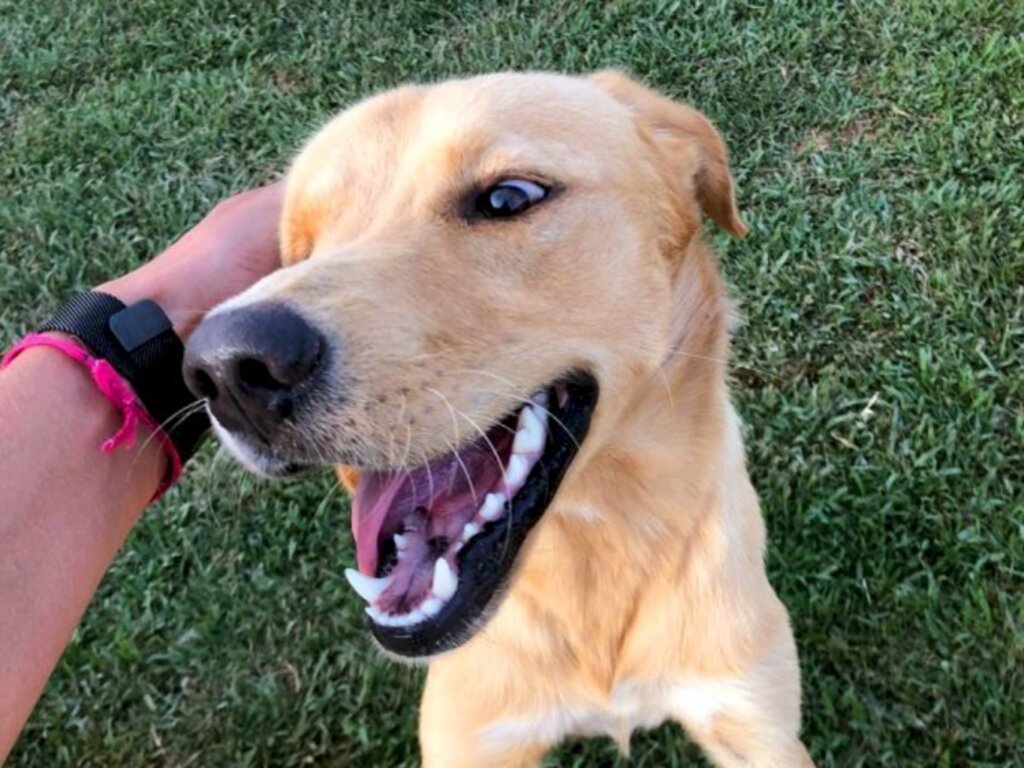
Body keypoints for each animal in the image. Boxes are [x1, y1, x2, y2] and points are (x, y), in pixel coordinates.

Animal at [182, 69, 806, 765]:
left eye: (507, 198)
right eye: (300, 251)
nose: (223, 368)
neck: (594, 552)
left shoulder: (754, 722)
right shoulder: (472, 738)